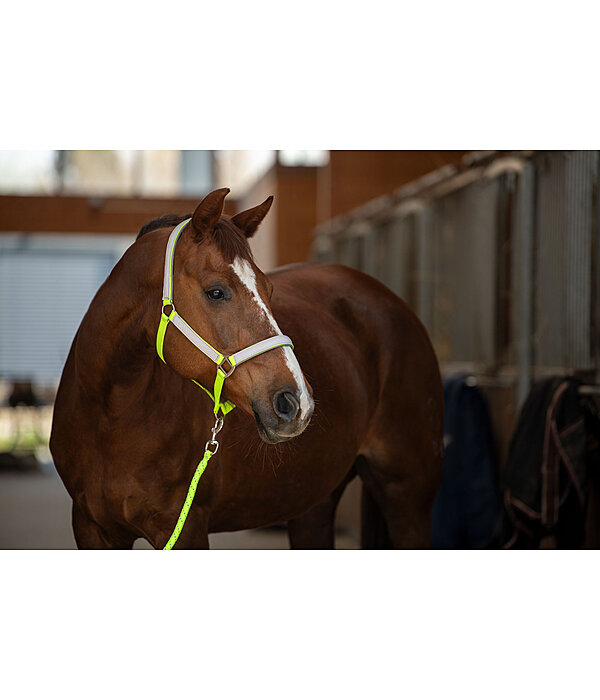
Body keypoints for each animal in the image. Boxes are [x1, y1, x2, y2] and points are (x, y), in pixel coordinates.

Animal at [51, 189, 442, 548]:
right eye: (216, 292)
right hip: (312, 501)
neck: (110, 418)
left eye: (269, 289)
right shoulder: (91, 528)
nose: (297, 403)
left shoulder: (185, 527)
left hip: (407, 496)